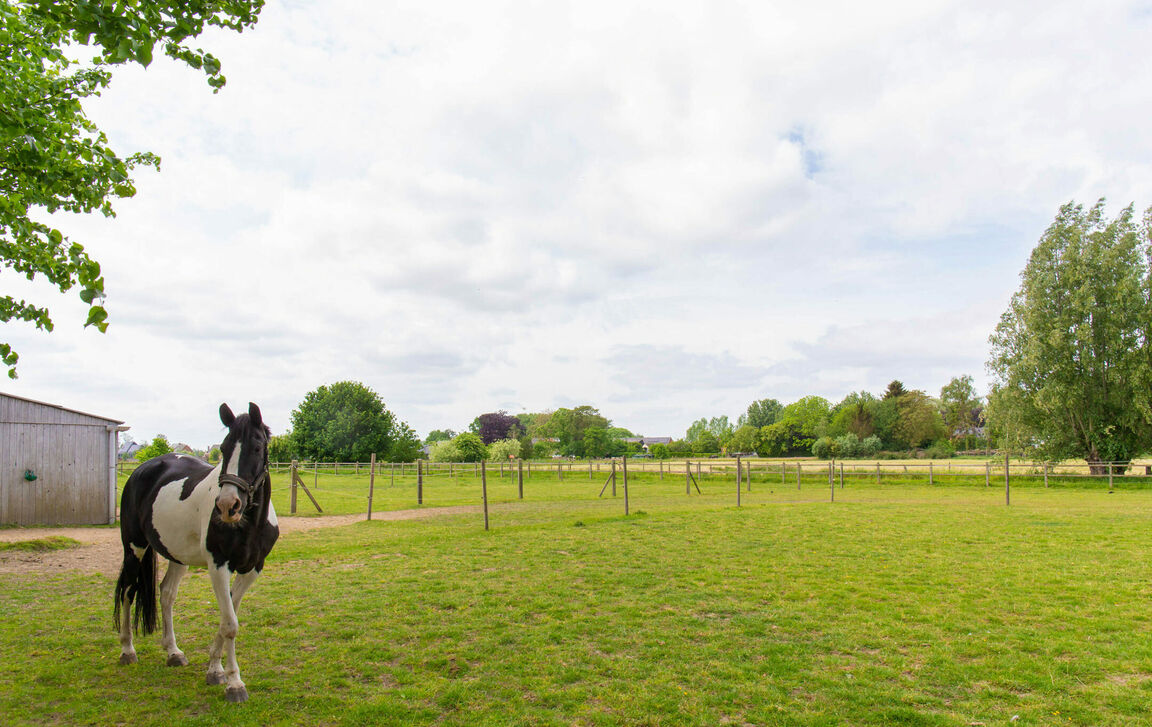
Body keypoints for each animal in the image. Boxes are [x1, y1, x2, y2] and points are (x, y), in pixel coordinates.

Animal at [114, 400, 278, 700]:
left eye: (257, 447)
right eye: (223, 448)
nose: (227, 506)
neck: (250, 524)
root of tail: (142, 470)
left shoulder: (251, 570)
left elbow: (228, 618)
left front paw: (215, 670)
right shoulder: (218, 566)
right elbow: (230, 624)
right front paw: (234, 683)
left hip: (178, 556)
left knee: (166, 594)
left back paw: (173, 652)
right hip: (135, 549)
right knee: (128, 592)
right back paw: (127, 650)